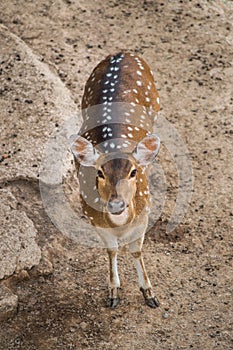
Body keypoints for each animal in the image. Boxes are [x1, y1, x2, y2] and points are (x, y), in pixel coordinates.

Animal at [69, 50, 160, 308]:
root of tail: (123, 53)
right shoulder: (93, 219)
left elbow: (136, 250)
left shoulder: (144, 214)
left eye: (133, 172)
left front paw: (150, 295)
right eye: (99, 172)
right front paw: (113, 294)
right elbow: (112, 250)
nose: (116, 204)